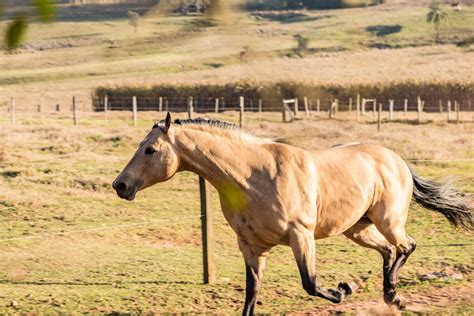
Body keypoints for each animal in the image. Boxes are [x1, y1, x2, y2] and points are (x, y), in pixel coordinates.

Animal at [113, 114, 472, 316]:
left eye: (150, 150)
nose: (120, 185)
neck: (252, 177)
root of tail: (396, 160)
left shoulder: (301, 235)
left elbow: (310, 283)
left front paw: (343, 290)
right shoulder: (251, 247)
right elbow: (251, 294)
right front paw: (346, 287)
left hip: (388, 221)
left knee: (406, 246)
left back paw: (394, 296)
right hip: (357, 229)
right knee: (388, 250)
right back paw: (390, 297)